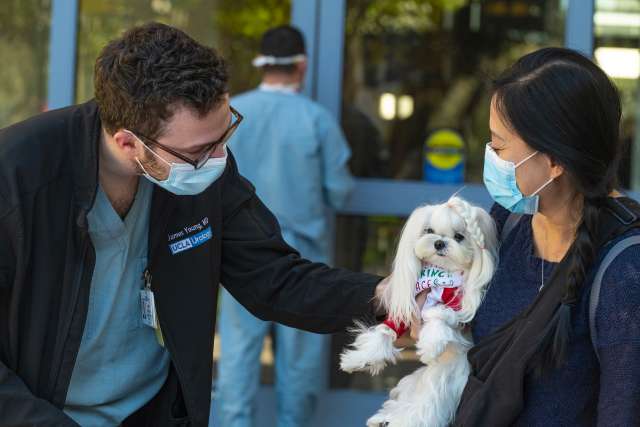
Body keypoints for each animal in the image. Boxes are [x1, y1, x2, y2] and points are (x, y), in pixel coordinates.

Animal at [340, 197, 500, 427]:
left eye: (459, 237)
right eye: (429, 230)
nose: (439, 242)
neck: (439, 274)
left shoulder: (456, 308)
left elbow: (439, 316)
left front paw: (431, 345)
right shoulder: (409, 305)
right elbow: (385, 331)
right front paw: (360, 358)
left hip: (444, 378)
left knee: (425, 405)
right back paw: (383, 419)